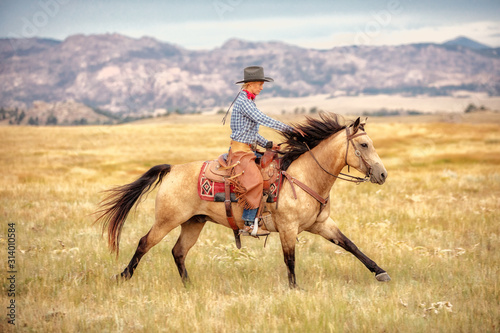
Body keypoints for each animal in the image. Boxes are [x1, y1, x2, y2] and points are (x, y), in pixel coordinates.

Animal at [94, 113, 390, 286]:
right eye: (364, 145)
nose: (382, 174)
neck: (304, 175)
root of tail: (172, 169)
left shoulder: (322, 224)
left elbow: (350, 245)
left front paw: (380, 271)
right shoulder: (288, 229)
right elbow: (290, 259)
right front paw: (294, 288)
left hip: (194, 223)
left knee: (178, 251)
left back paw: (189, 286)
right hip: (166, 220)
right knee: (145, 243)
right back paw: (122, 276)